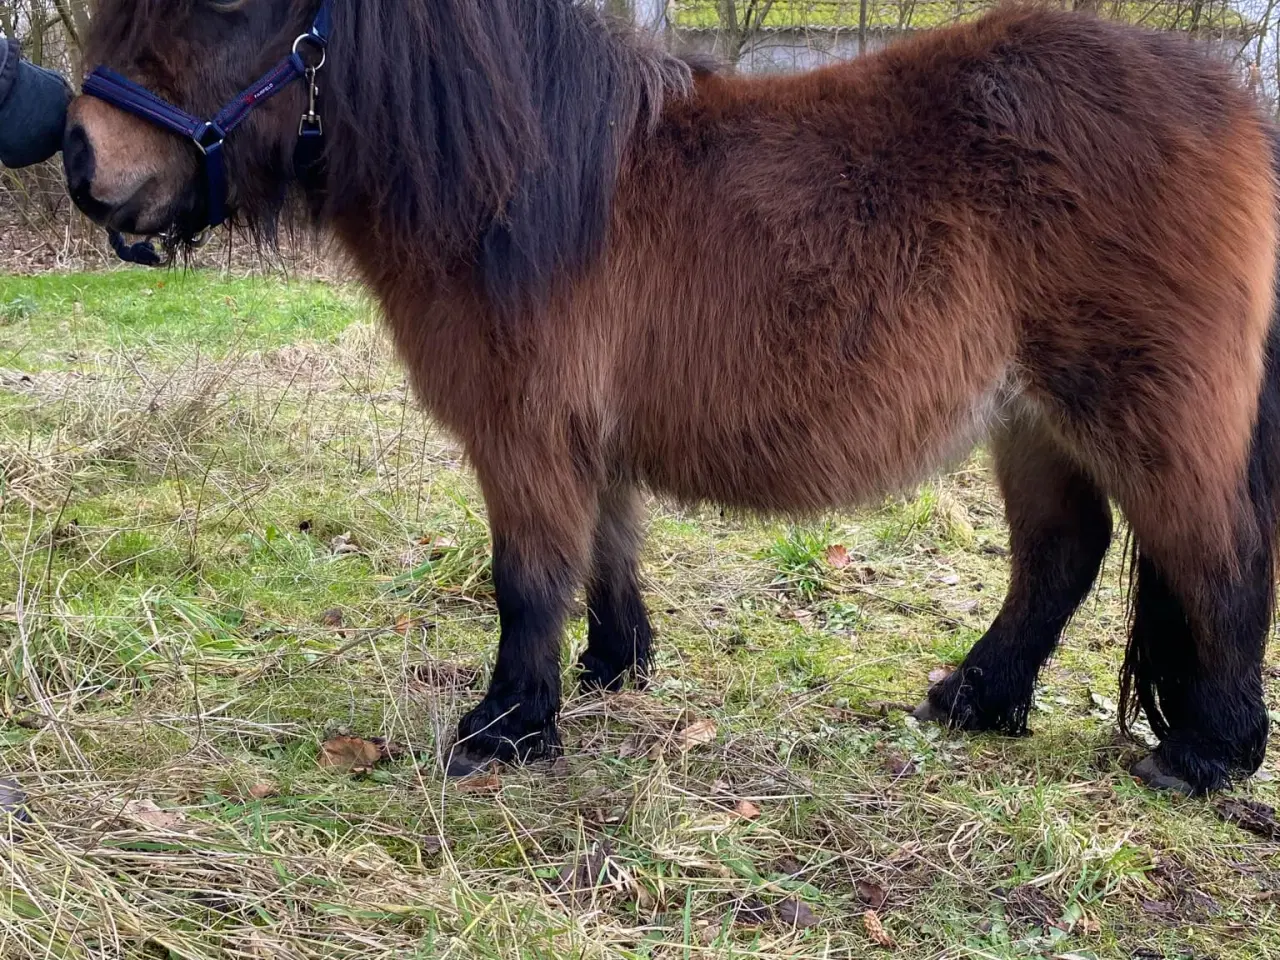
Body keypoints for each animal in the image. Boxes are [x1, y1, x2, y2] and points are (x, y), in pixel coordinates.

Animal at [64, 0, 1280, 798]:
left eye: (226, 1)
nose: (81, 159)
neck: (519, 180)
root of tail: (1233, 107)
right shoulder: (582, 434)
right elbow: (606, 547)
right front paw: (611, 669)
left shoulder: (524, 430)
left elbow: (525, 578)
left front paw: (505, 730)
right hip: (1030, 421)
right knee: (1060, 556)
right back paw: (975, 701)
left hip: (1140, 409)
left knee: (1211, 553)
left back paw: (1203, 757)